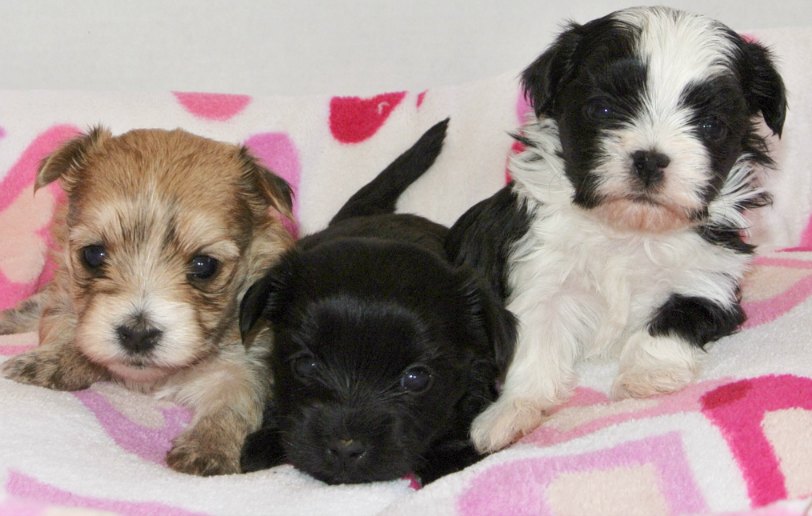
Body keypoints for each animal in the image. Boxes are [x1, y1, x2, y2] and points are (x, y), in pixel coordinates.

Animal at [0, 128, 292, 476]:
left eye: (205, 266)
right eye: (93, 254)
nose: (138, 334)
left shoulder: (248, 360)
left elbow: (235, 400)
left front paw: (209, 446)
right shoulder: (65, 299)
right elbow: (73, 334)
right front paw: (51, 362)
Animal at [444, 6, 788, 454]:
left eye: (711, 125)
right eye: (603, 110)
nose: (650, 159)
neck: (631, 229)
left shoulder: (710, 277)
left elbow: (674, 319)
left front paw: (647, 374)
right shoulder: (541, 273)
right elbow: (534, 340)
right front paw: (512, 410)